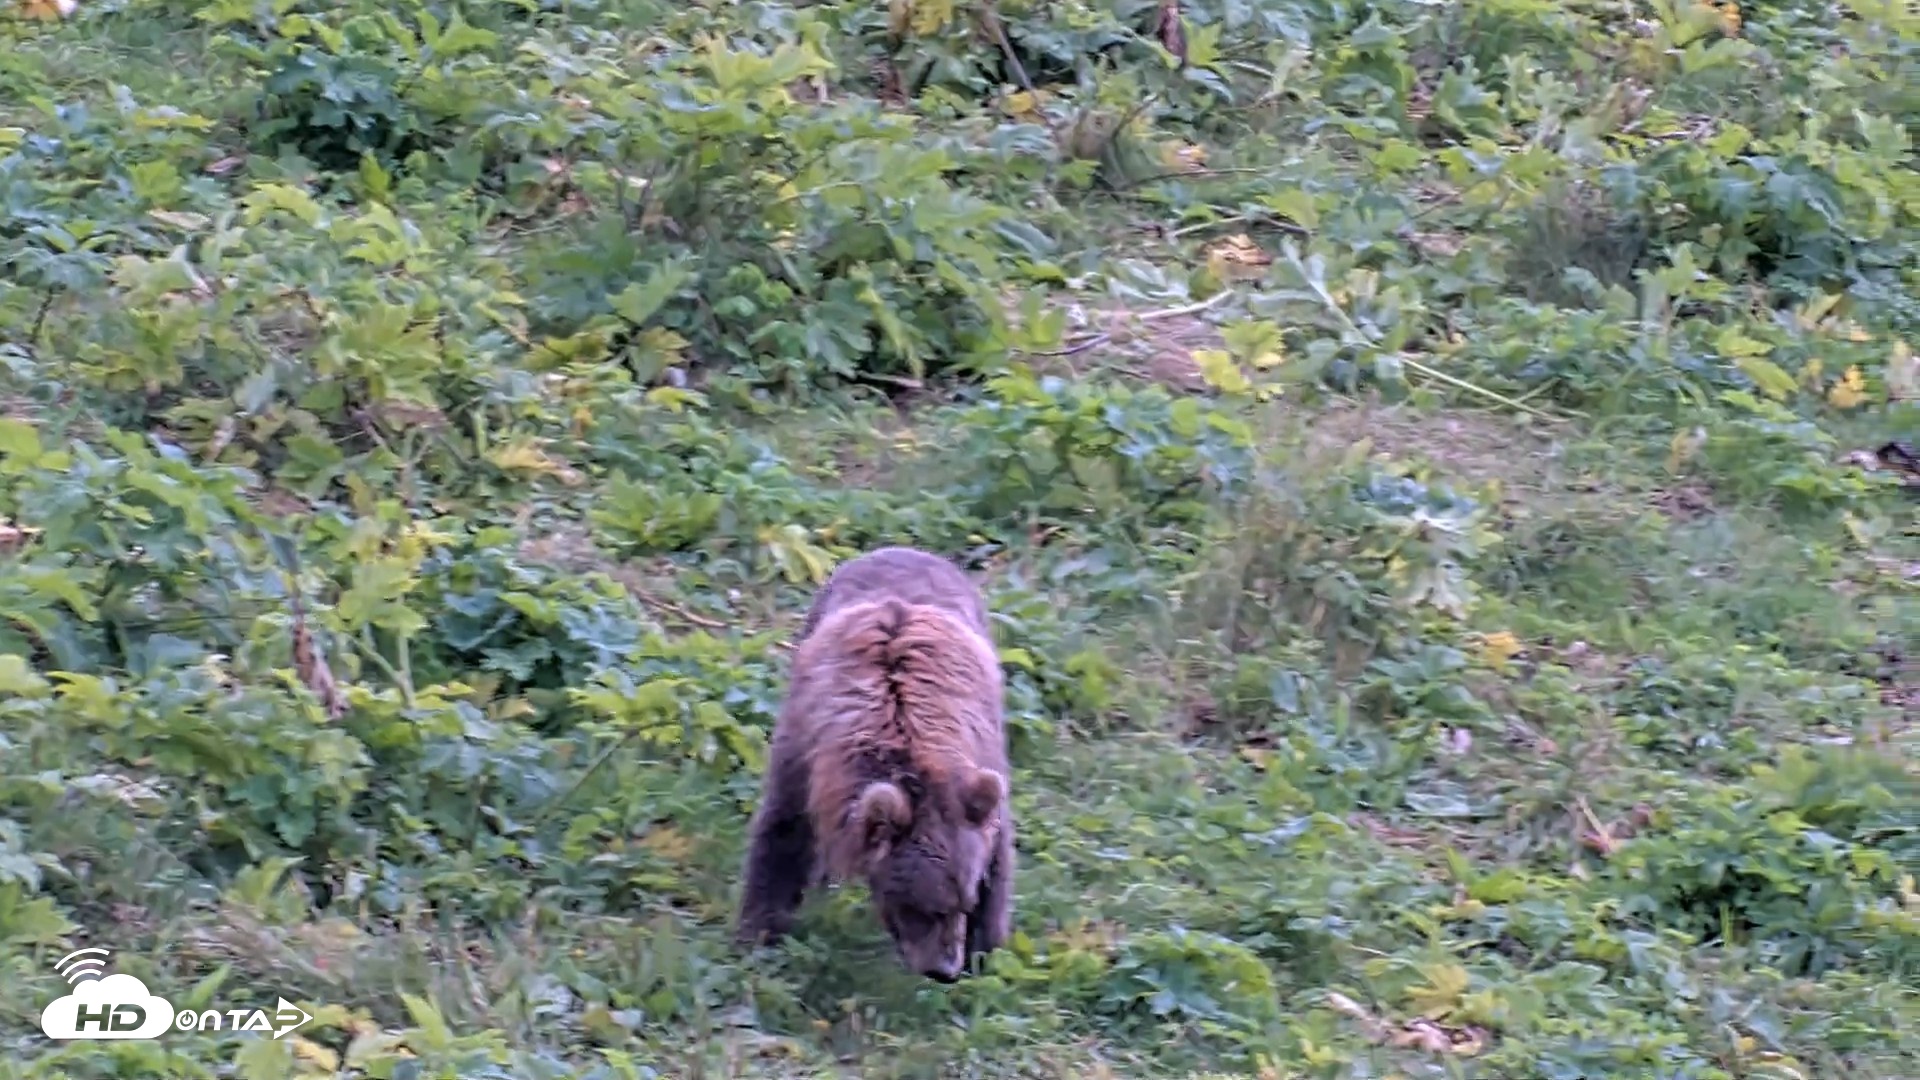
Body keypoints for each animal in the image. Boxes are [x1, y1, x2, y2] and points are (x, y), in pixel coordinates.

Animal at [735, 546, 1014, 983]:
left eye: (964, 900)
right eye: (921, 906)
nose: (945, 970)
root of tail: (904, 548)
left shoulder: (980, 756)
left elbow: (998, 849)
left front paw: (986, 950)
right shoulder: (806, 748)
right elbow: (784, 831)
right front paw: (758, 933)